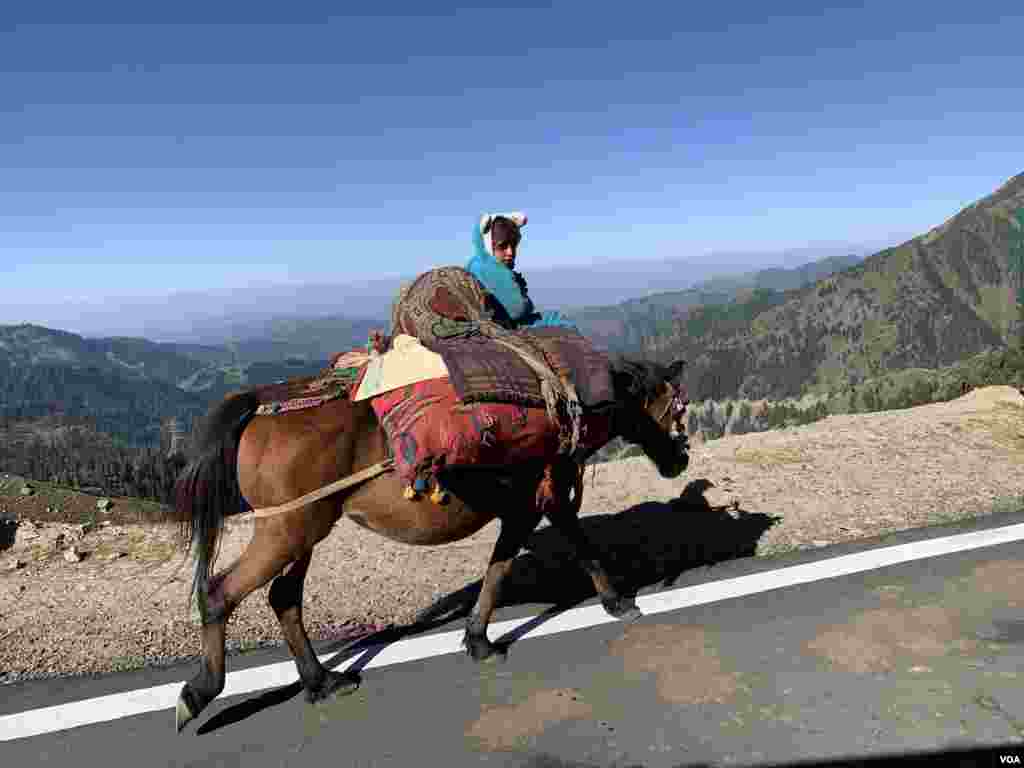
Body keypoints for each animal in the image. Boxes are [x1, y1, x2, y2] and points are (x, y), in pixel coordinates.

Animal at [172, 358, 688, 729]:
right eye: (675, 408)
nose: (680, 460)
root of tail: (261, 403)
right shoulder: (546, 502)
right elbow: (578, 550)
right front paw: (617, 601)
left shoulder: (521, 512)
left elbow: (499, 569)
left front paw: (477, 638)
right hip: (289, 528)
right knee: (220, 592)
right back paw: (201, 690)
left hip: (304, 528)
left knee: (284, 597)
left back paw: (321, 682)